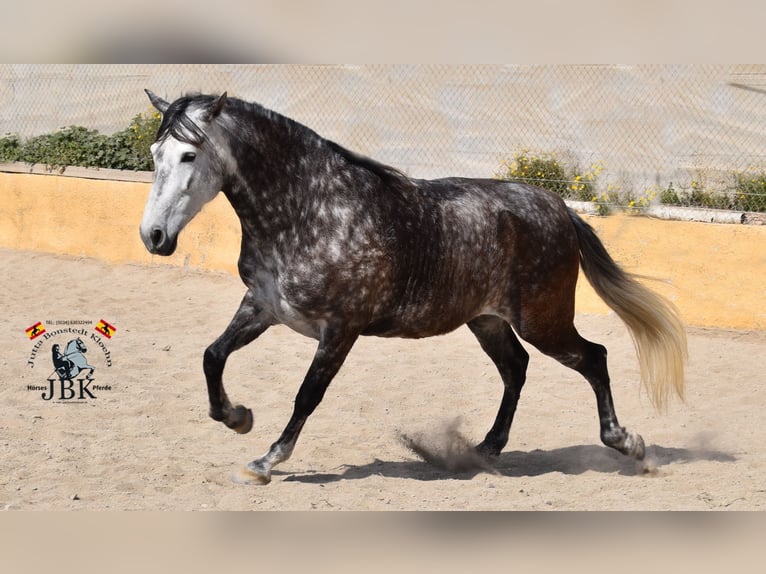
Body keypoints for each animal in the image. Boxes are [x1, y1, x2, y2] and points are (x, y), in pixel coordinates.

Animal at [141, 90, 688, 486]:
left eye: (189, 154)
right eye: (154, 153)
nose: (154, 237)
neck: (310, 212)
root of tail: (559, 208)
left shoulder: (340, 329)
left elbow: (306, 396)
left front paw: (264, 461)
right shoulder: (263, 307)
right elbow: (213, 355)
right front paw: (238, 417)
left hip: (543, 321)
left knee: (593, 357)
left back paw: (628, 444)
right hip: (487, 320)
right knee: (516, 368)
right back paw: (484, 449)